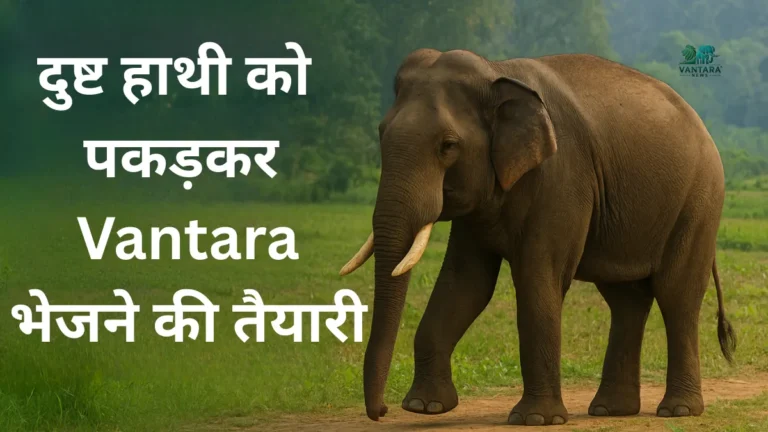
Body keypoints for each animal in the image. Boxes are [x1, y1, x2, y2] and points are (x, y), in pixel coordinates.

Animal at [339, 49, 736, 426]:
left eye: (448, 145)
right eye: (380, 132)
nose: (381, 411)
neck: (495, 70)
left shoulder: (562, 177)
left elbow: (538, 279)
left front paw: (534, 419)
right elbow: (465, 282)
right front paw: (426, 407)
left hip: (698, 202)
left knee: (676, 295)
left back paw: (678, 411)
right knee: (626, 299)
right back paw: (610, 410)